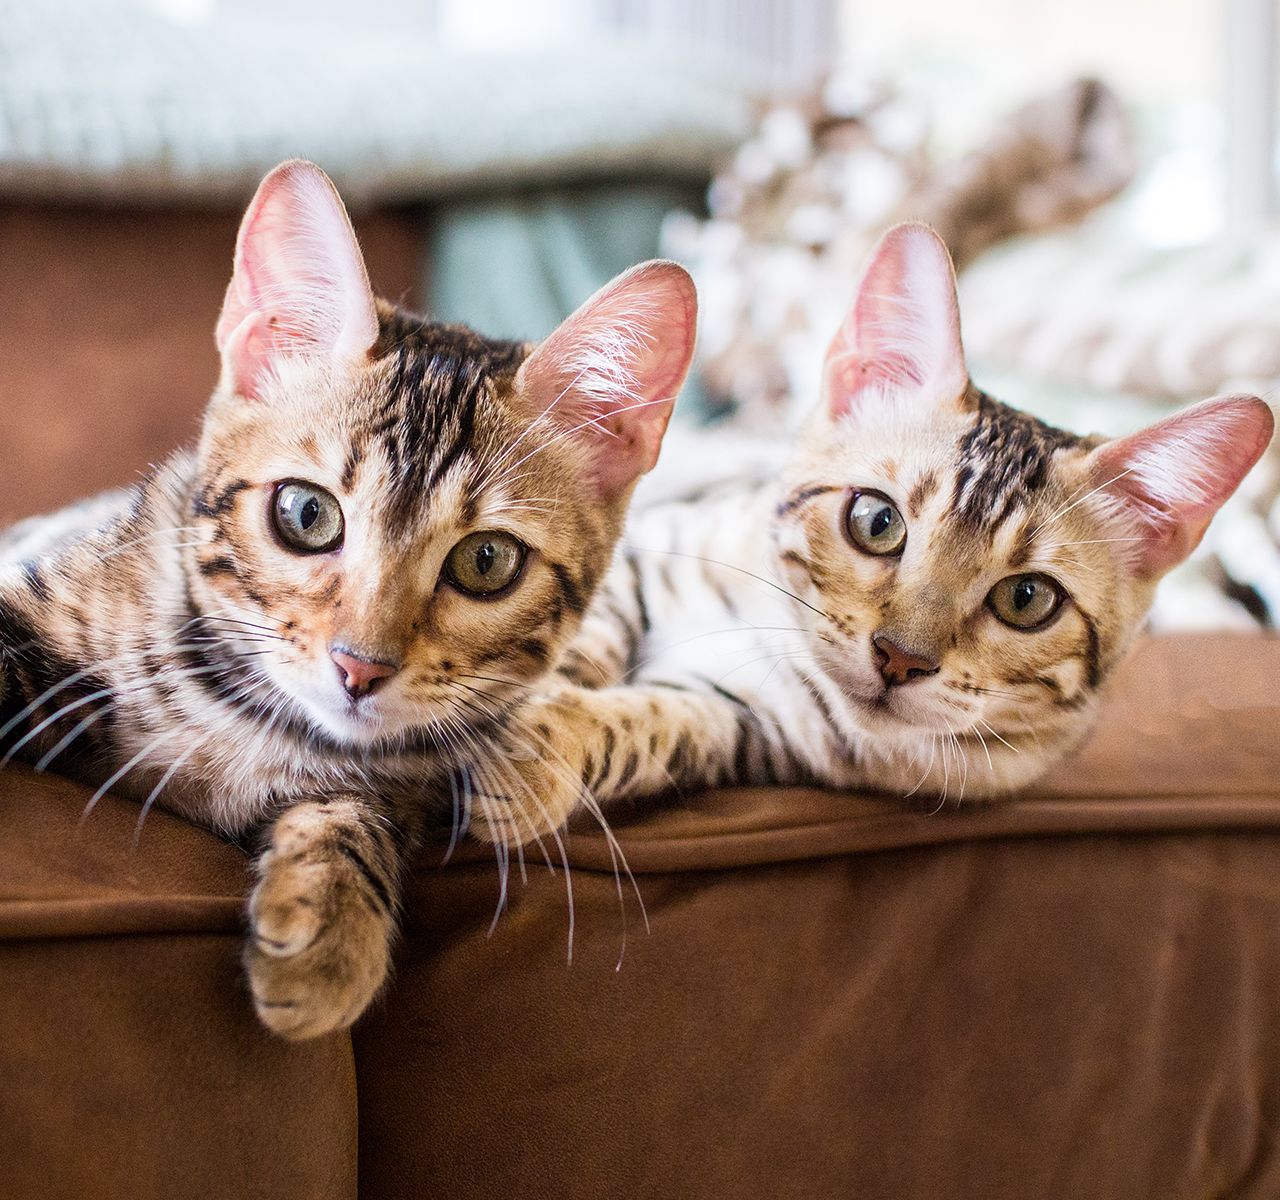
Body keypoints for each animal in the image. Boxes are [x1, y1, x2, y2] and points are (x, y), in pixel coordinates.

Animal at [0, 161, 701, 1038]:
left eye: (487, 561)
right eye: (307, 514)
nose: (359, 668)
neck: (258, 723)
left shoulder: (409, 777)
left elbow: (359, 811)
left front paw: (332, 919)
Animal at [471, 222, 1269, 844]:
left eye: (1027, 600)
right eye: (877, 522)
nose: (900, 658)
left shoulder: (742, 727)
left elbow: (653, 720)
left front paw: (539, 752)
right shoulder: (651, 544)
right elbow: (593, 622)